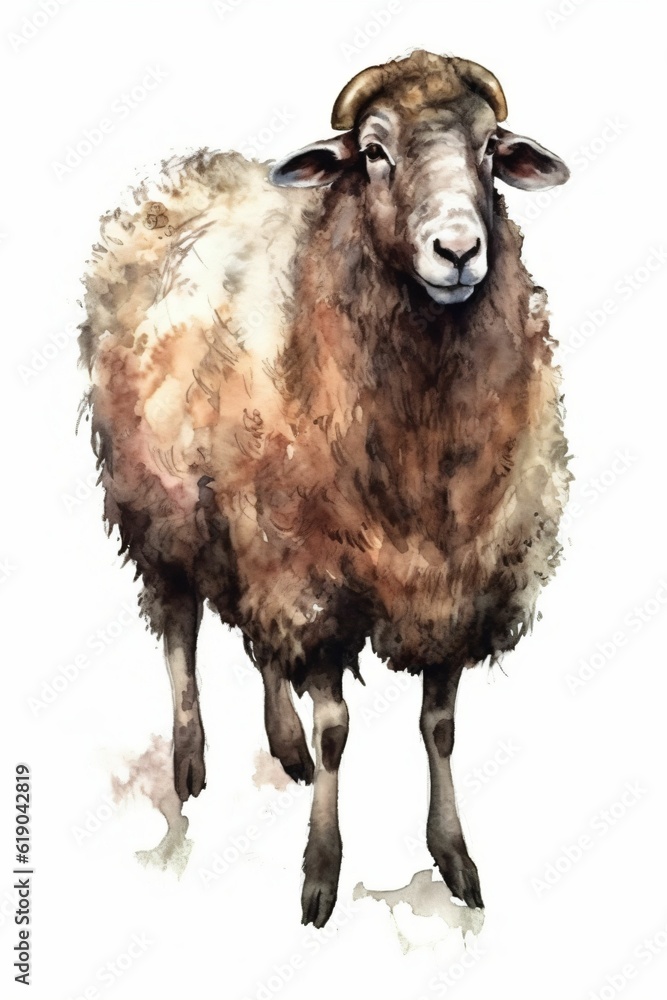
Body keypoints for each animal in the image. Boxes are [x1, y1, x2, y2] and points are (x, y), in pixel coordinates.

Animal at [79, 49, 570, 928]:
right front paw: (321, 869)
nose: (457, 250)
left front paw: (454, 858)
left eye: (489, 148)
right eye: (372, 151)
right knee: (180, 631)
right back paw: (190, 761)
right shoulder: (318, 580)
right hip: (162, 509)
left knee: (257, 640)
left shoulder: (453, 584)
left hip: (251, 526)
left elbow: (439, 728)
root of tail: (183, 173)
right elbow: (338, 729)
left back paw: (283, 744)